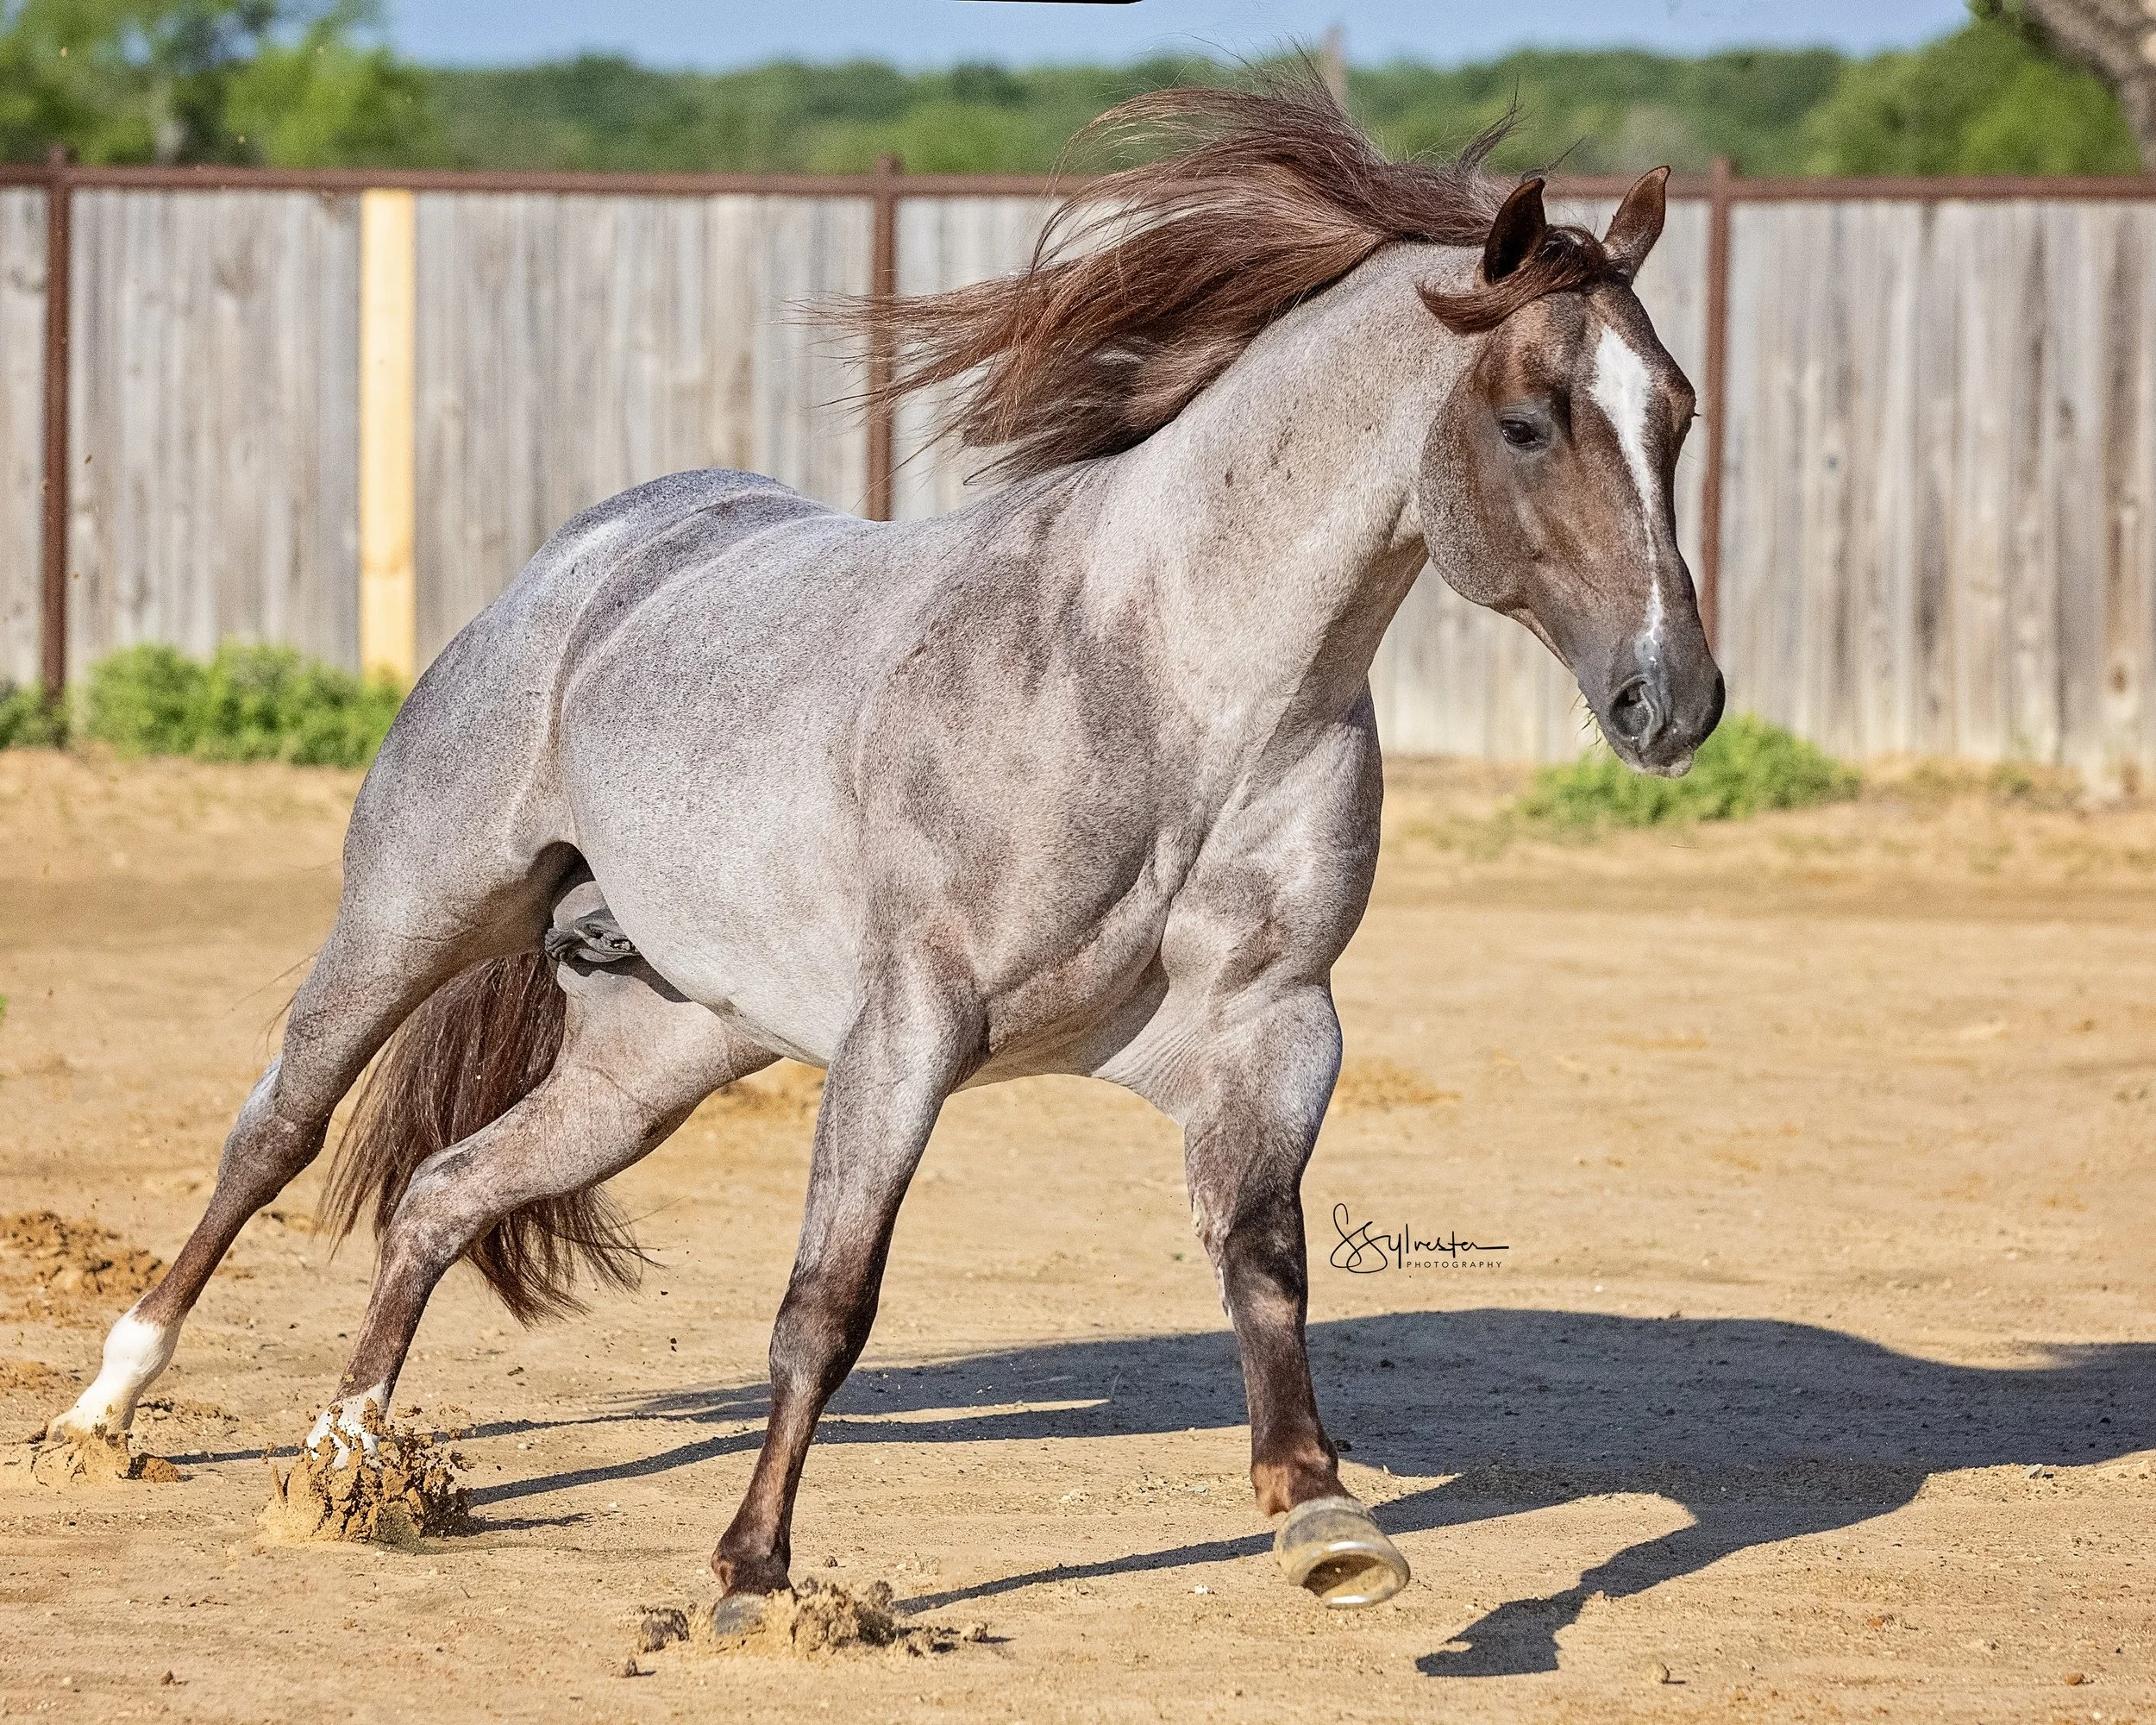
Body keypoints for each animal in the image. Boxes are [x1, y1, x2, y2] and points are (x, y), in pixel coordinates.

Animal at [46, 79, 1722, 1613]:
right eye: (1530, 421)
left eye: (1679, 413)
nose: (1675, 699)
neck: (1167, 684)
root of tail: (594, 558)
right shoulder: (909, 1029)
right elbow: (828, 1304)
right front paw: (752, 1578)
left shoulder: (1272, 1028)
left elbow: (1263, 1261)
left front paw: (1324, 1517)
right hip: (412, 916)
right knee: (276, 1134)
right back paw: (106, 1410)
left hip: (657, 1057)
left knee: (443, 1193)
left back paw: (347, 1474)